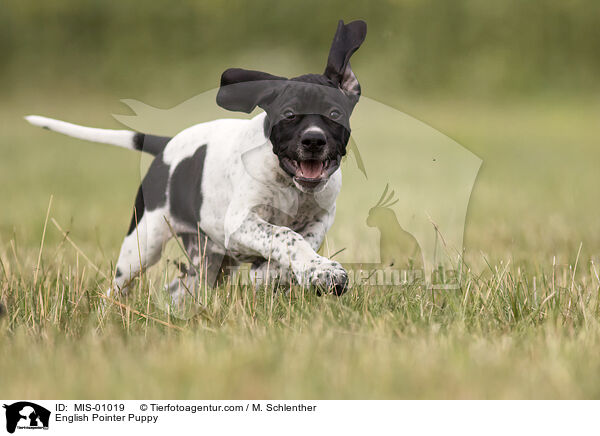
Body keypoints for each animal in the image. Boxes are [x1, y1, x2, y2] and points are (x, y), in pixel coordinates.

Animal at [25, 18, 366, 298]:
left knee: (177, 288)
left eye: (335, 114)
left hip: (208, 260)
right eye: (289, 114)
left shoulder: (322, 217)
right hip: (142, 245)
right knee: (118, 287)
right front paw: (316, 270)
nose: (313, 140)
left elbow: (302, 238)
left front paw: (288, 271)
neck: (289, 185)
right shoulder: (240, 222)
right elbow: (285, 235)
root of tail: (166, 145)